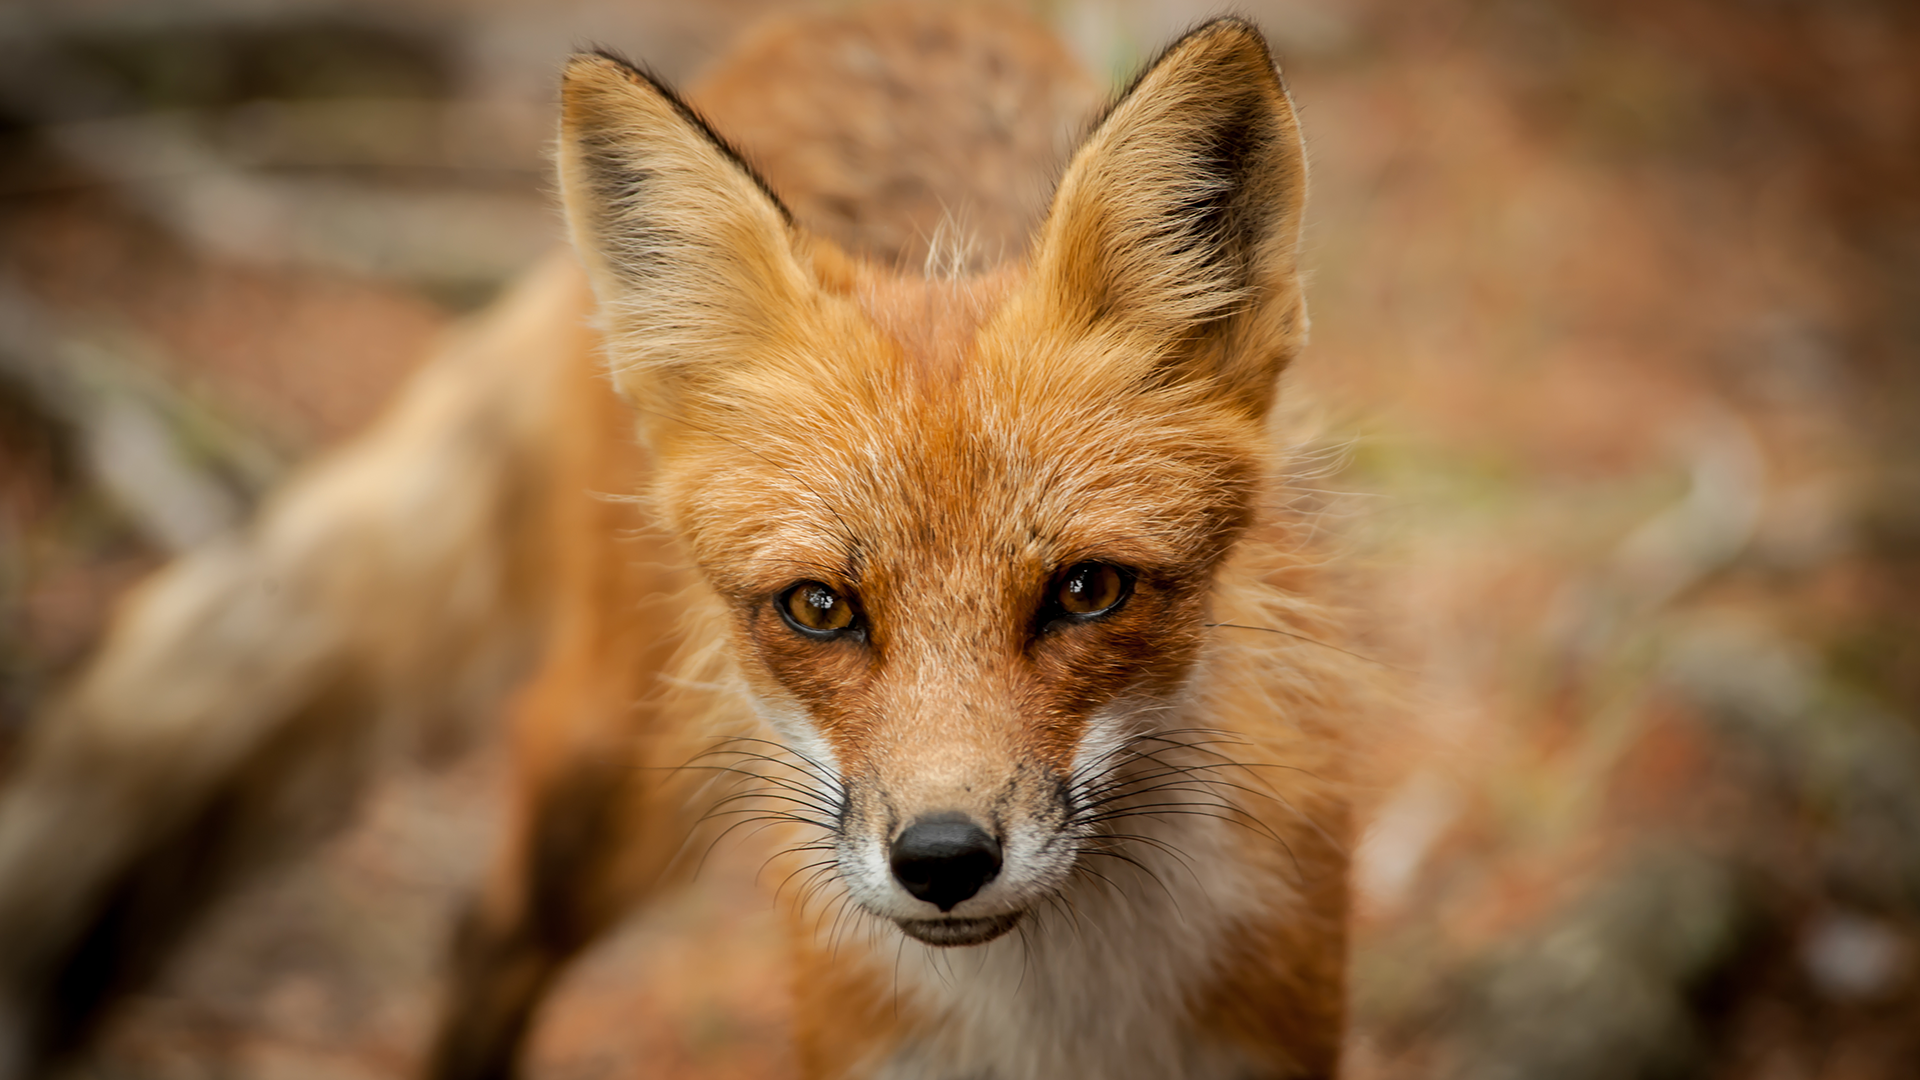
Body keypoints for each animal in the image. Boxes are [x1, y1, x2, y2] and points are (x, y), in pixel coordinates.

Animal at [0, 8, 1367, 1076]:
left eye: (1087, 590)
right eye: (818, 607)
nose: (940, 861)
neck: (1053, 1026)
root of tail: (847, 19)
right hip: (604, 788)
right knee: (485, 935)